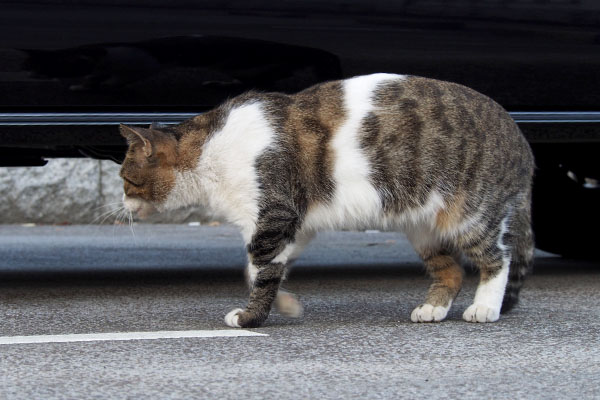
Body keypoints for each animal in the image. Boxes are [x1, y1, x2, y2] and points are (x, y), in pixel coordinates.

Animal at [118, 72, 536, 328]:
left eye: (125, 178)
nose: (119, 202)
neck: (208, 151)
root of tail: (521, 140)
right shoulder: (294, 224)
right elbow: (263, 269)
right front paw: (285, 304)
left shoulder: (271, 216)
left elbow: (262, 269)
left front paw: (251, 319)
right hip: (422, 227)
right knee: (451, 270)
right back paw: (433, 308)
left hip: (469, 213)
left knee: (497, 257)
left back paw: (485, 306)